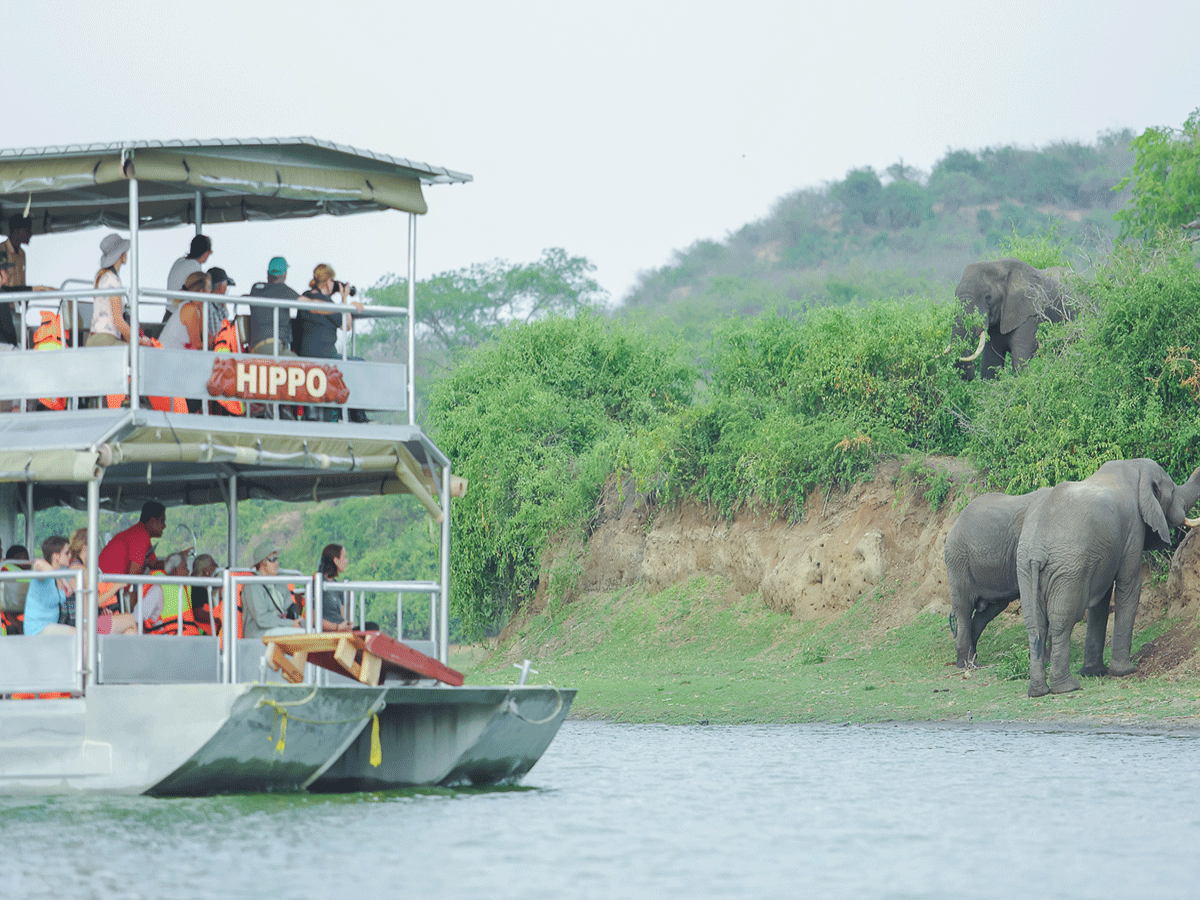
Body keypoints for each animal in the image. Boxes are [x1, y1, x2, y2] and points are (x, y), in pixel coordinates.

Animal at [1017, 460, 1200, 700]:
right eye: (1172, 490)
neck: (1134, 467)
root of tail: (1037, 549)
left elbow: (1101, 601)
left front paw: (1094, 672)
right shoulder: (1133, 528)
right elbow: (1129, 584)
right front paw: (1125, 671)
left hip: (1026, 569)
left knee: (1034, 625)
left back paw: (1037, 692)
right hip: (1068, 569)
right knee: (1062, 623)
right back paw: (1067, 687)